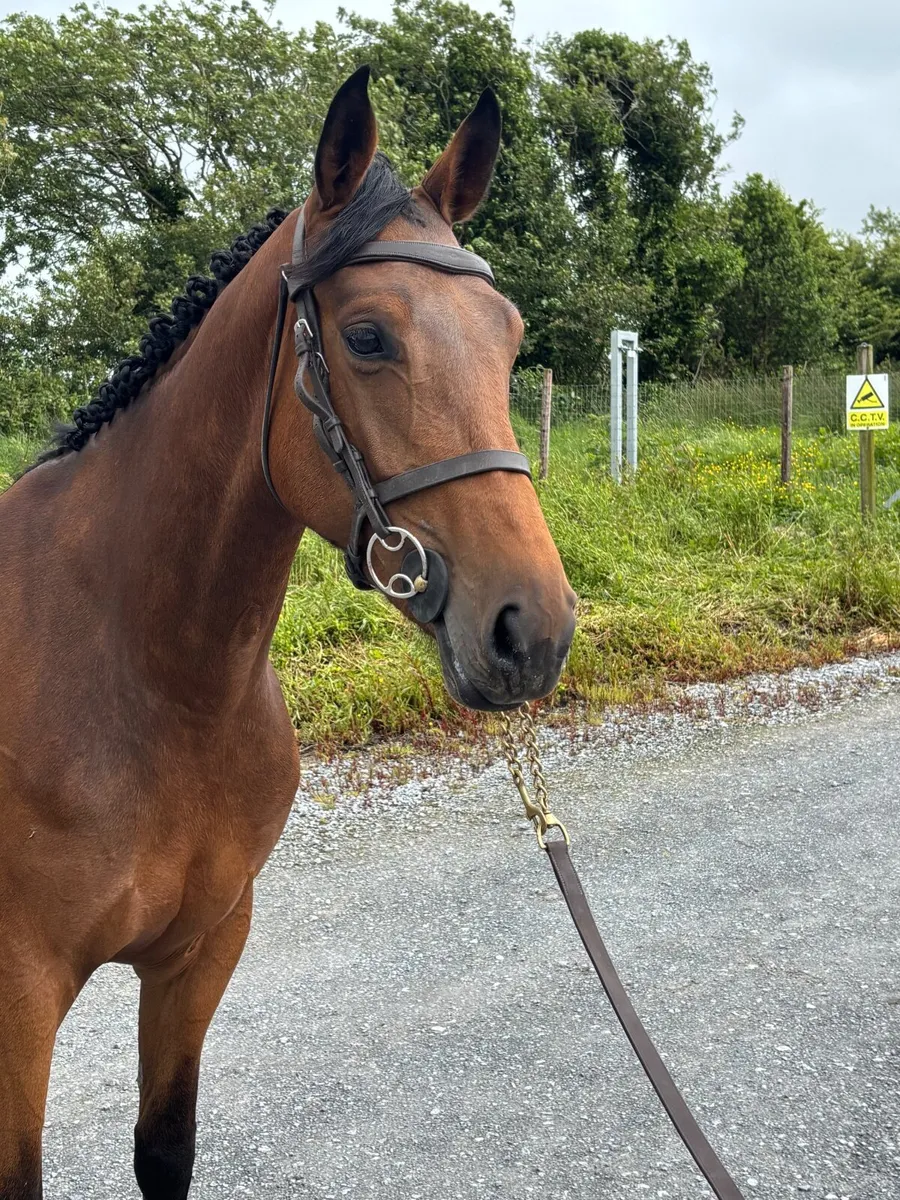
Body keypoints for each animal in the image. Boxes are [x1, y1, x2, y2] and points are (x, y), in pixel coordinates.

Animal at [0, 67, 575, 1198]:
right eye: (367, 337)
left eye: (509, 333)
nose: (531, 631)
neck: (148, 679)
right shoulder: (18, 1002)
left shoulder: (203, 949)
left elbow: (166, 1152)